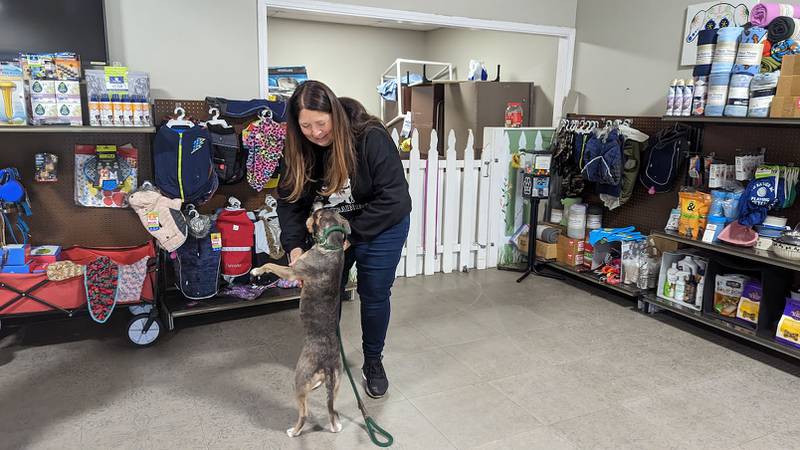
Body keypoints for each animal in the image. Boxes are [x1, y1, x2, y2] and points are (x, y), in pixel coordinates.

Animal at [250, 209, 350, 438]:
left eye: (317, 215)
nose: (313, 209)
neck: (331, 245)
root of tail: (327, 363)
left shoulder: (291, 271)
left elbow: (270, 265)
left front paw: (256, 271)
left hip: (299, 378)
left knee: (303, 413)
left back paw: (293, 432)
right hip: (336, 382)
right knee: (331, 409)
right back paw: (335, 426)